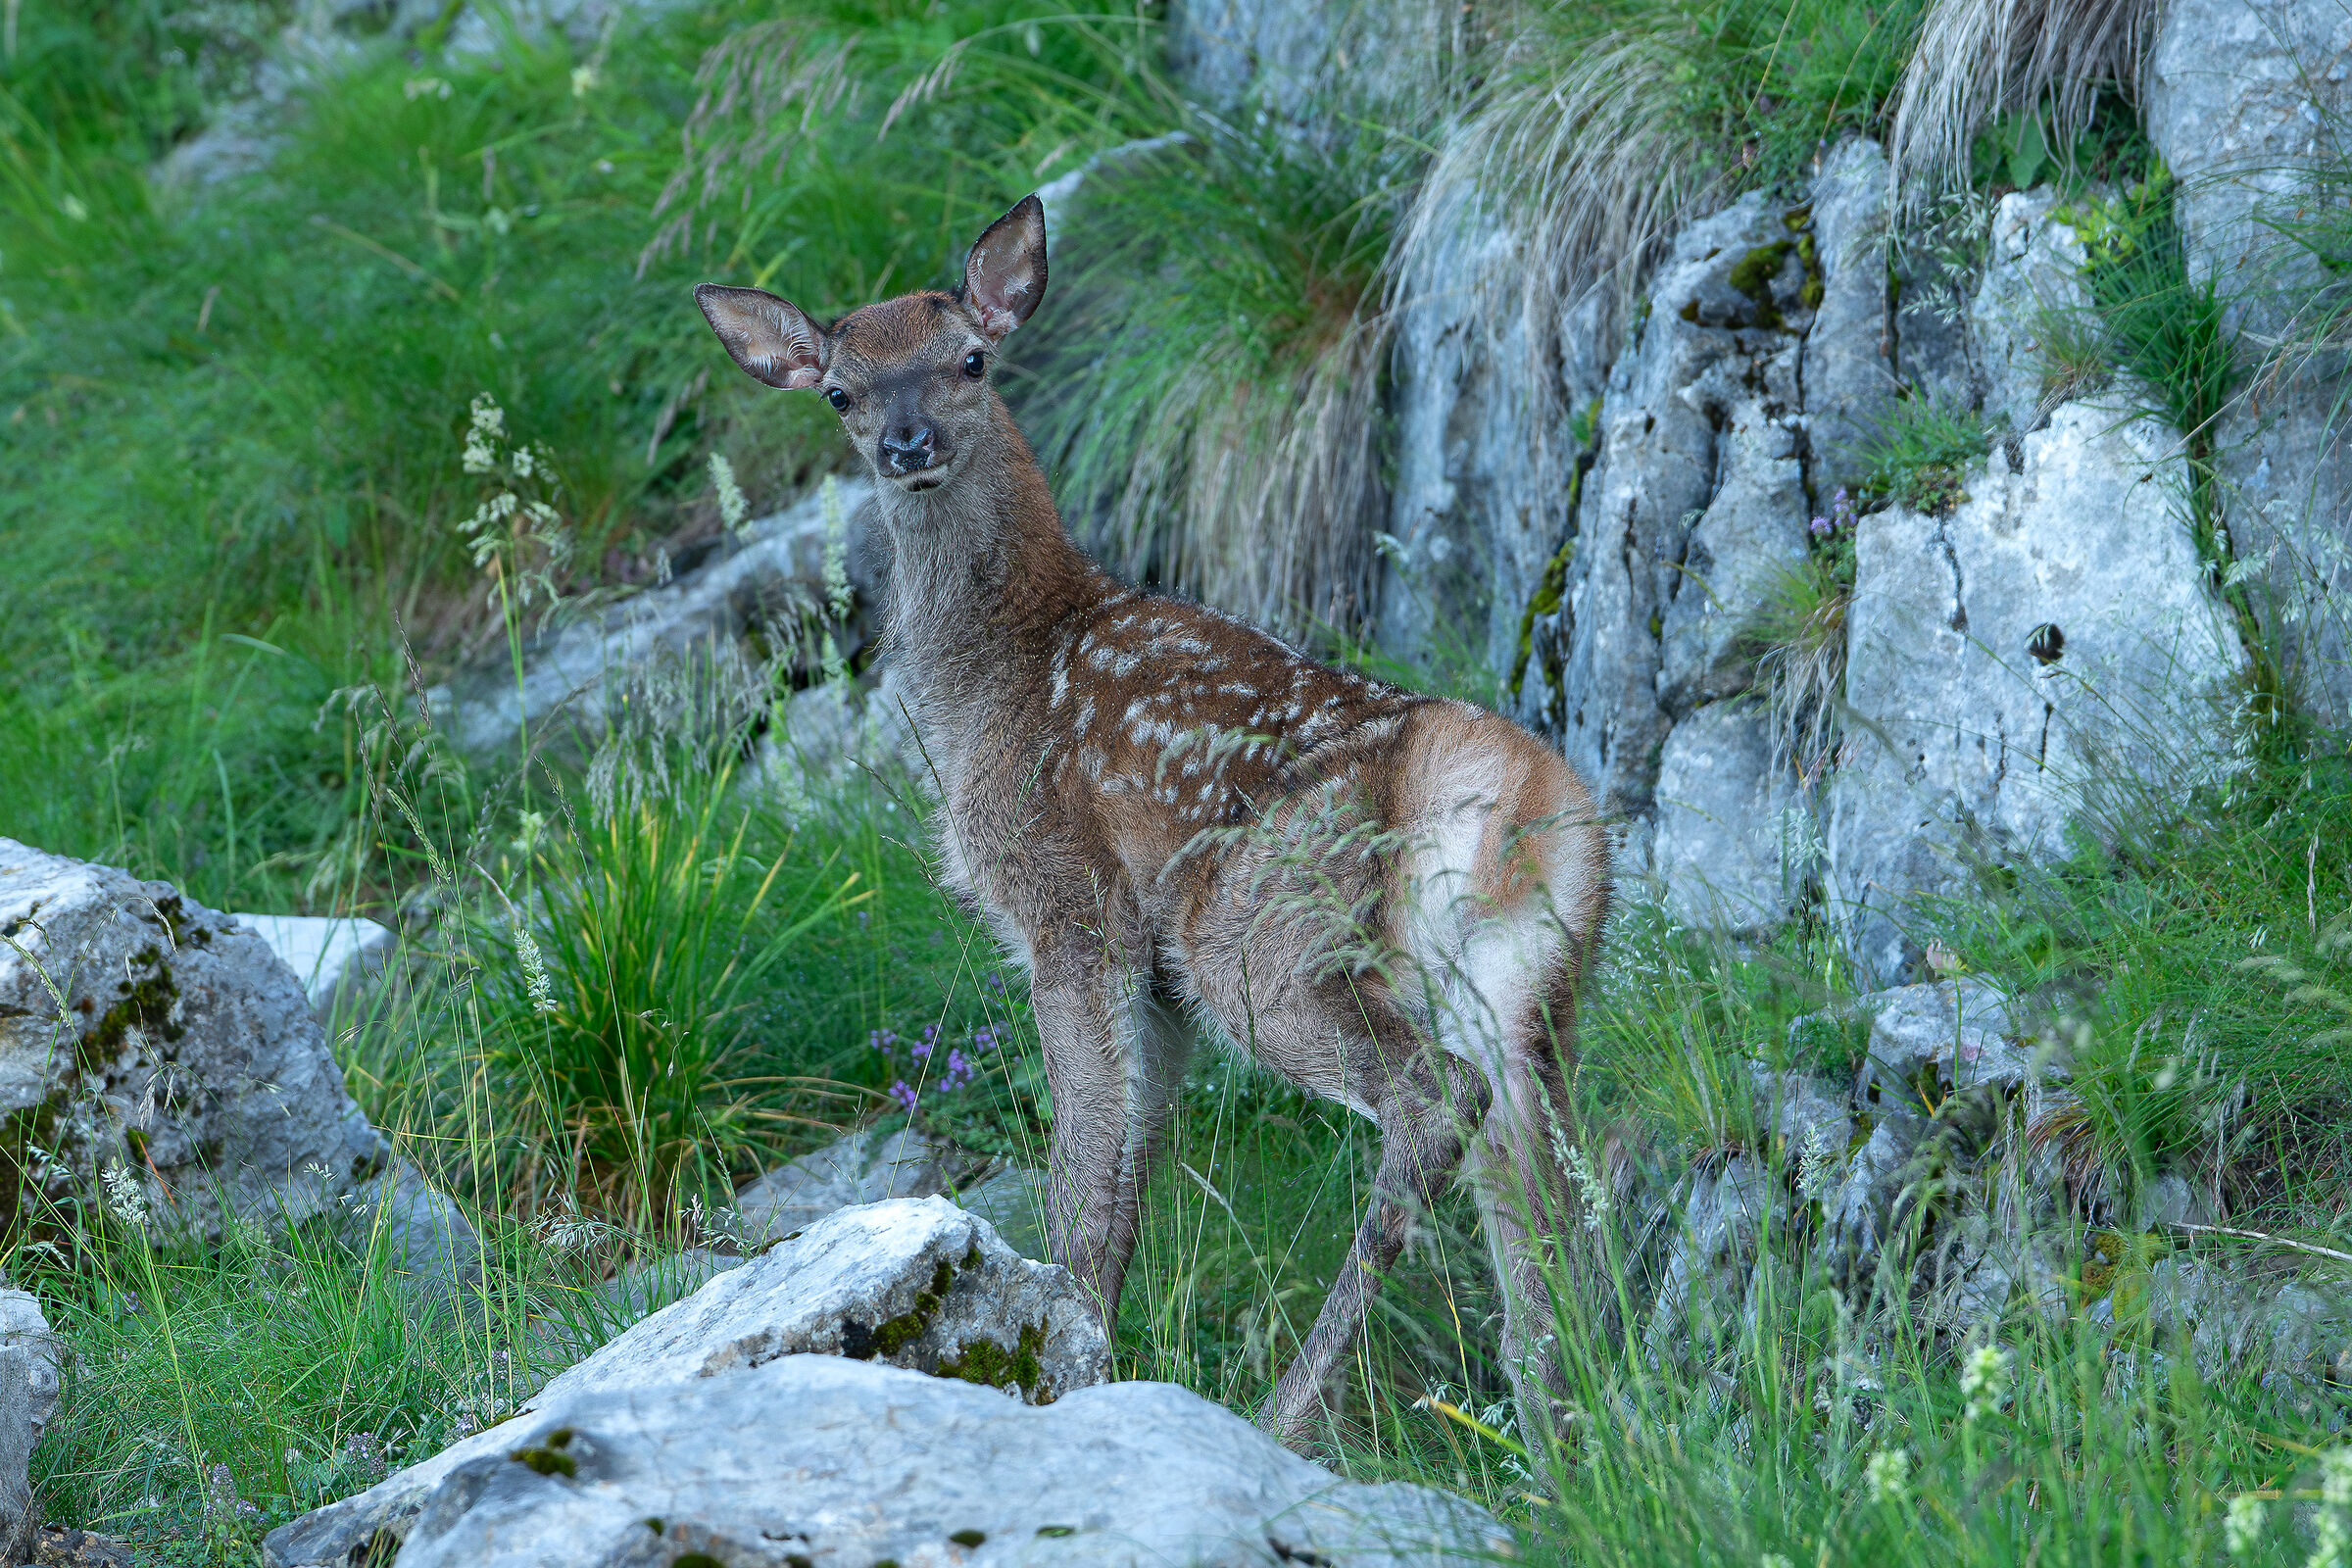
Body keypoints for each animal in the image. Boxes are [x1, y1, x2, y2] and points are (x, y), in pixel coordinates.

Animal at [695, 194, 1611, 1445]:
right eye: (840, 390)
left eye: (970, 360)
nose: (909, 445)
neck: (997, 673)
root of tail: (1515, 792)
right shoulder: (1154, 978)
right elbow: (1131, 1165)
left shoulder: (1069, 901)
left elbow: (1085, 1169)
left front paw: (1065, 1343)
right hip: (1531, 987)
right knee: (1540, 1200)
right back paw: (1563, 1429)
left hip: (1262, 933)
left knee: (1435, 1104)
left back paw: (1291, 1408)